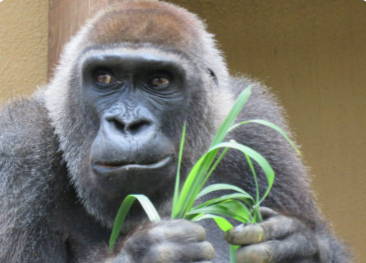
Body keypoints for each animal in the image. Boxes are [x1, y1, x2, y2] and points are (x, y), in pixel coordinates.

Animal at [0, 0, 352, 263]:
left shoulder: (257, 127)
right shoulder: (20, 146)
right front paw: (150, 253)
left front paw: (298, 246)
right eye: (104, 78)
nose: (128, 124)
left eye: (159, 81)